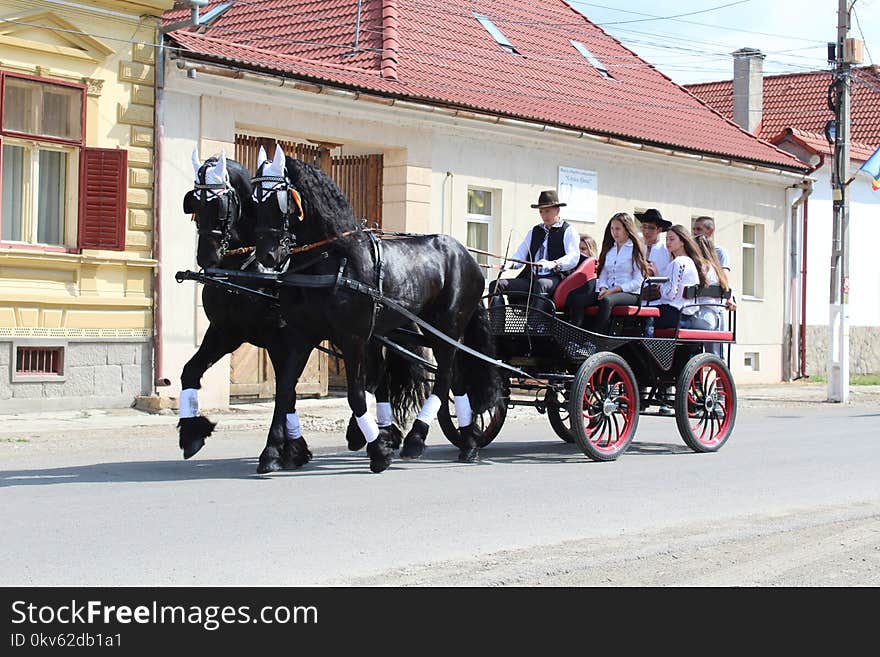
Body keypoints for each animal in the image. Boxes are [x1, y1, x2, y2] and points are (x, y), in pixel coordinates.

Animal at [179, 151, 426, 464]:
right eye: (195, 202)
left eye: (221, 203)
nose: (206, 256)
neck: (247, 270)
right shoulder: (226, 332)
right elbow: (191, 371)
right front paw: (191, 435)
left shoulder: (280, 338)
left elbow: (286, 391)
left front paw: (281, 448)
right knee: (378, 375)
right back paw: (382, 433)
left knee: (374, 375)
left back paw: (371, 434)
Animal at [253, 145, 502, 472]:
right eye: (254, 200)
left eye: (279, 198)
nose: (267, 255)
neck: (334, 260)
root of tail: (468, 256)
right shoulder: (301, 335)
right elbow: (284, 391)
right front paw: (271, 452)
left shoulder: (353, 338)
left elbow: (357, 394)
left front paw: (378, 449)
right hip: (436, 330)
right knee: (457, 379)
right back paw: (468, 440)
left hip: (447, 327)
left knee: (445, 378)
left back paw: (418, 438)